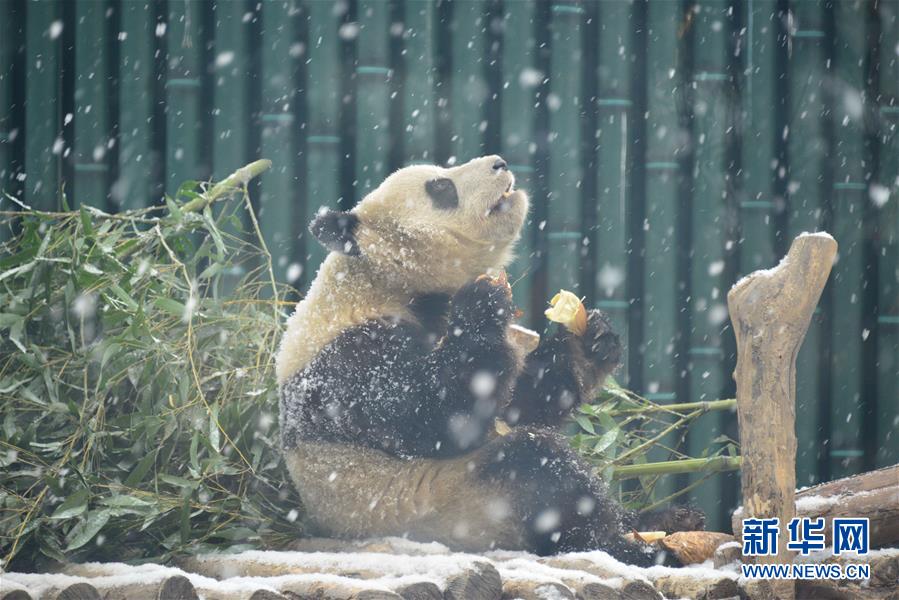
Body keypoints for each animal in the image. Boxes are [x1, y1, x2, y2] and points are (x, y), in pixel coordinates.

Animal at [278, 156, 664, 568]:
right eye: (441, 188)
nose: (500, 163)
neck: (382, 279)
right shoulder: (348, 360)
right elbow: (433, 416)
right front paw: (482, 304)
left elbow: (517, 406)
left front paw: (590, 341)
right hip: (454, 505)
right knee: (538, 468)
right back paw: (628, 546)